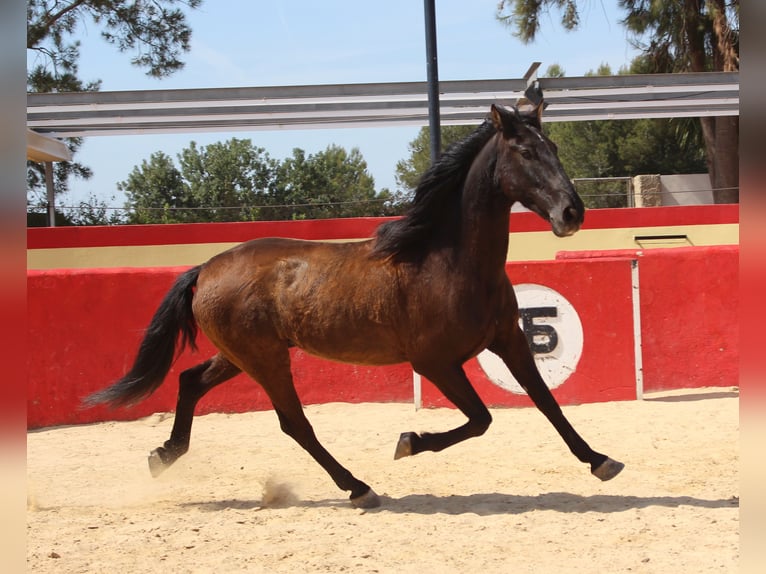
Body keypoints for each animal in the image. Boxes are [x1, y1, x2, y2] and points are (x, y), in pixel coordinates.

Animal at [85, 102, 624, 508]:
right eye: (527, 152)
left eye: (554, 148)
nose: (572, 212)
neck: (450, 261)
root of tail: (206, 268)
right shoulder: (435, 363)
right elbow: (481, 420)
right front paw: (409, 443)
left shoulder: (508, 340)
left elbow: (546, 400)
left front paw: (601, 461)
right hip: (265, 359)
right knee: (294, 422)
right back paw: (359, 488)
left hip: (241, 355)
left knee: (190, 382)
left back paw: (164, 454)